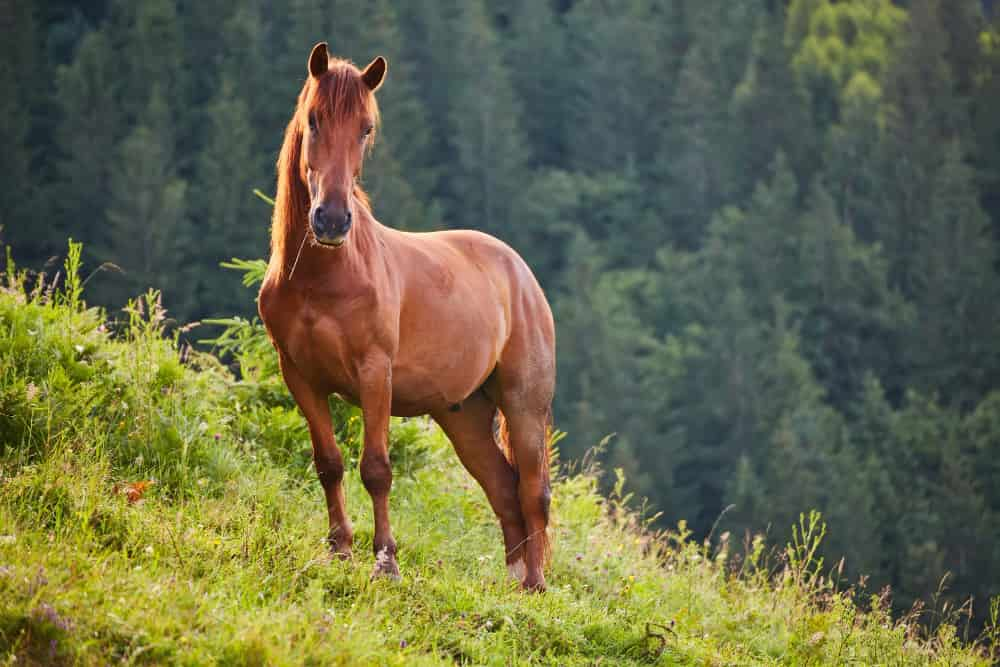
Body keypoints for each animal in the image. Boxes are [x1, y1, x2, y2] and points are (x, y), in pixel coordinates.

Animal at [256, 44, 556, 592]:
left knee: (532, 491)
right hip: (463, 415)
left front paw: (386, 562)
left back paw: (536, 586)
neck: (323, 278)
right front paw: (339, 550)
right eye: (314, 119)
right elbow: (329, 464)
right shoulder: (300, 376)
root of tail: (520, 274)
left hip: (525, 404)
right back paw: (512, 584)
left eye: (366, 128)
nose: (332, 220)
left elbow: (376, 469)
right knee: (503, 490)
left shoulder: (375, 373)